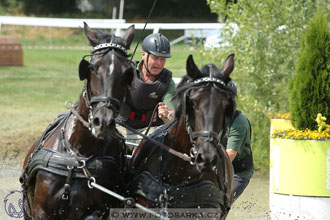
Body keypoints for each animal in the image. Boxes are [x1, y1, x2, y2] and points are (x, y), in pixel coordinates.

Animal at [20, 23, 135, 219]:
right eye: (93, 67)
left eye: (127, 73)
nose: (103, 122)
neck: (78, 156)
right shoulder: (40, 210)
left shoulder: (97, 210)